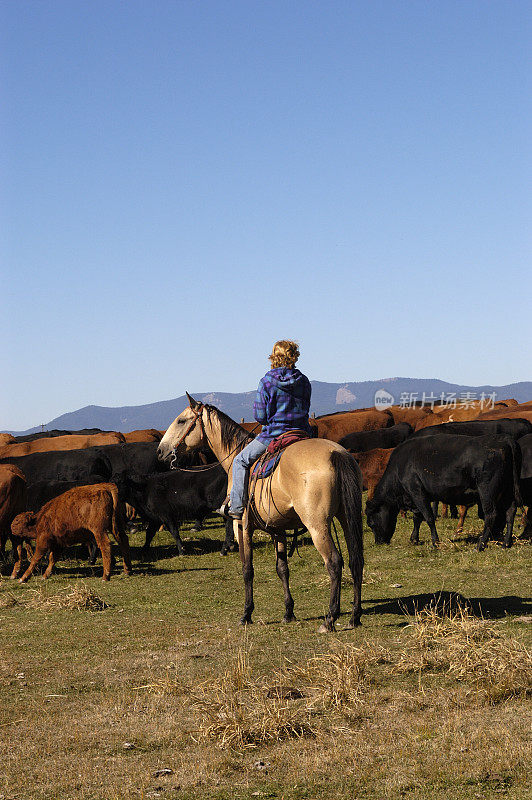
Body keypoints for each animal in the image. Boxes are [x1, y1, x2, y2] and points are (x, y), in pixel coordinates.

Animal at [158, 394, 364, 632]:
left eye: (181, 421)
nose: (160, 451)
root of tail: (336, 454)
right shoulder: (278, 529)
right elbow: (282, 568)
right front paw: (288, 612)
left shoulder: (241, 525)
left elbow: (247, 569)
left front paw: (246, 614)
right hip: (348, 517)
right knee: (356, 559)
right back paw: (354, 616)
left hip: (317, 525)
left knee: (334, 563)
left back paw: (330, 618)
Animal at [366, 434, 520, 552]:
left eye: (371, 523)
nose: (378, 542)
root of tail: (503, 440)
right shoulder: (415, 497)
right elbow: (417, 518)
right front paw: (414, 539)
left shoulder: (416, 491)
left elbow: (428, 517)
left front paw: (435, 542)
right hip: (507, 491)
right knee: (510, 512)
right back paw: (506, 543)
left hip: (487, 490)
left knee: (491, 514)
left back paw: (480, 545)